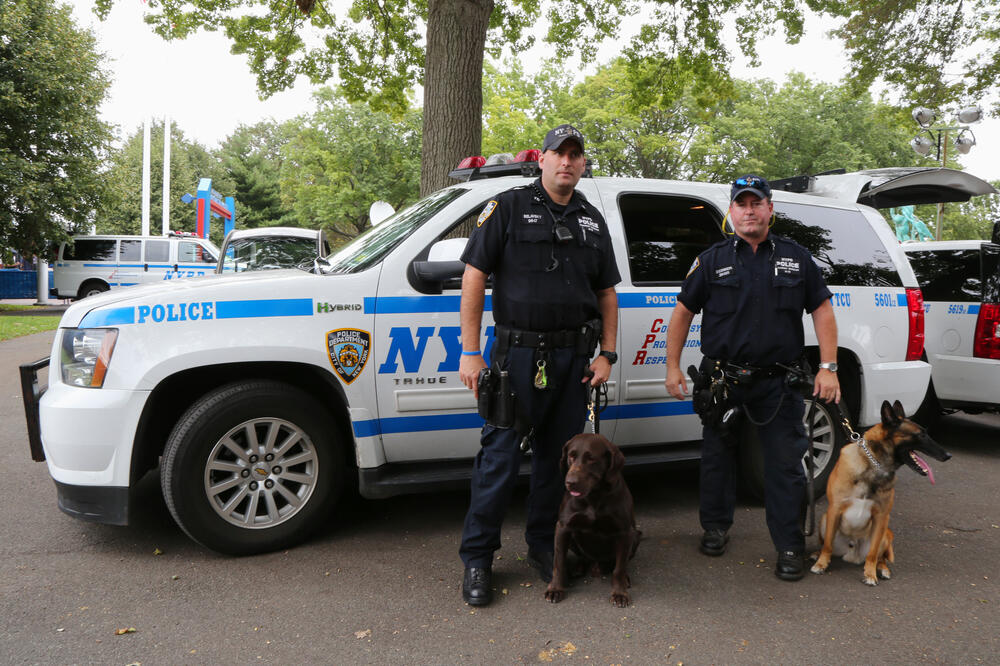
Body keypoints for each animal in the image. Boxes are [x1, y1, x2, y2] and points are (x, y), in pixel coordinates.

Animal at [548, 430, 640, 608]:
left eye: (591, 459)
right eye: (571, 456)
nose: (570, 482)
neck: (594, 496)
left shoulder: (625, 532)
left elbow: (619, 568)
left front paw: (620, 593)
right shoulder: (563, 528)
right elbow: (558, 562)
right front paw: (555, 589)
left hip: (635, 535)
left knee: (621, 563)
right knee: (583, 557)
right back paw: (578, 568)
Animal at [808, 396, 948, 584]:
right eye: (921, 434)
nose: (948, 455)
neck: (873, 466)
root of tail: (852, 553)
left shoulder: (882, 516)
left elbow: (873, 554)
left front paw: (870, 574)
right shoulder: (835, 509)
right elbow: (827, 544)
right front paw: (822, 564)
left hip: (885, 533)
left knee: (880, 557)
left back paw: (882, 569)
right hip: (825, 520)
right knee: (827, 543)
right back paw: (817, 554)